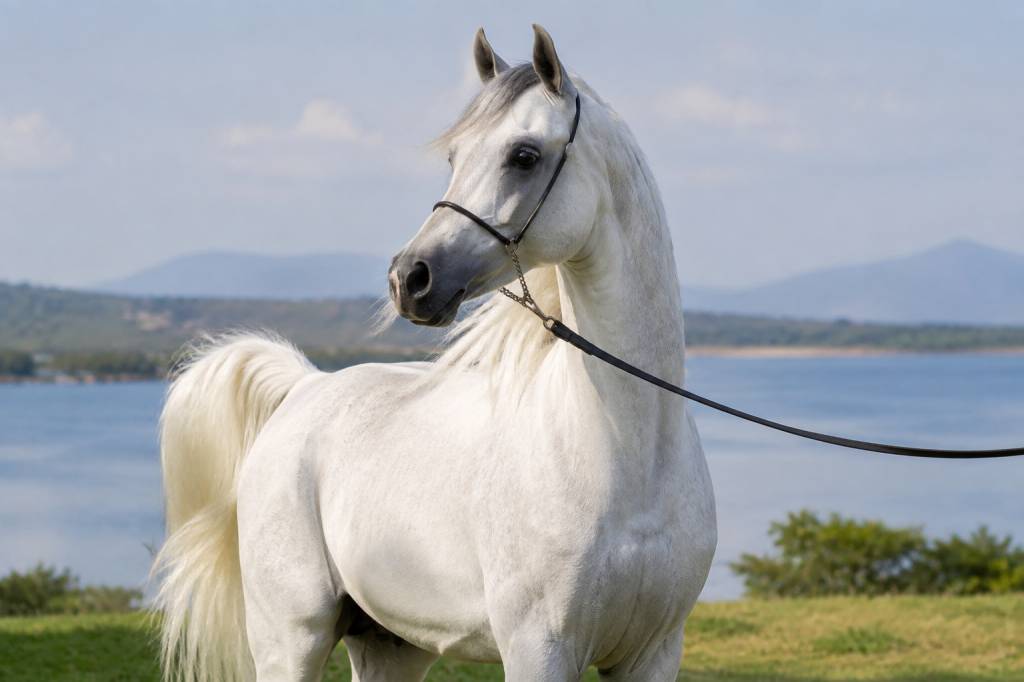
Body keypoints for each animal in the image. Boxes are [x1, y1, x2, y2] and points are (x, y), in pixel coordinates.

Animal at [153, 24, 717, 682]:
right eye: (454, 158)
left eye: (523, 155)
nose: (410, 278)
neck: (627, 452)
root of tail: (307, 387)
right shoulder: (539, 649)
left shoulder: (653, 652)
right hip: (291, 640)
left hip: (390, 644)